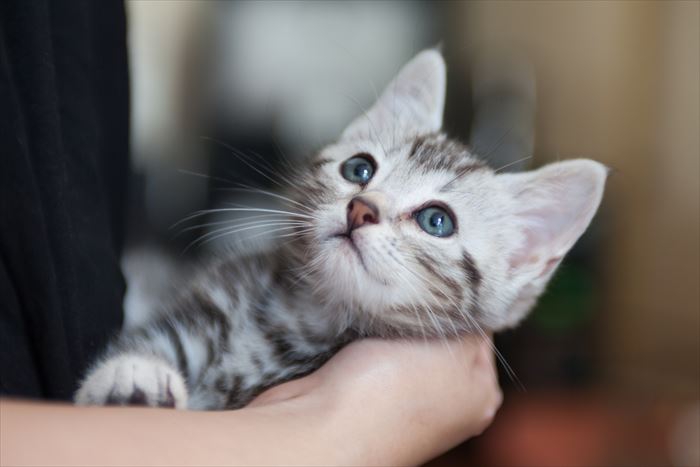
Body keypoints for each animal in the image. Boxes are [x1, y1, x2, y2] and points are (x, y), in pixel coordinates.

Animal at [74, 50, 604, 410]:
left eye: (437, 221)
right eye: (359, 169)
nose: (360, 209)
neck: (304, 317)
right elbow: (157, 339)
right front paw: (133, 376)